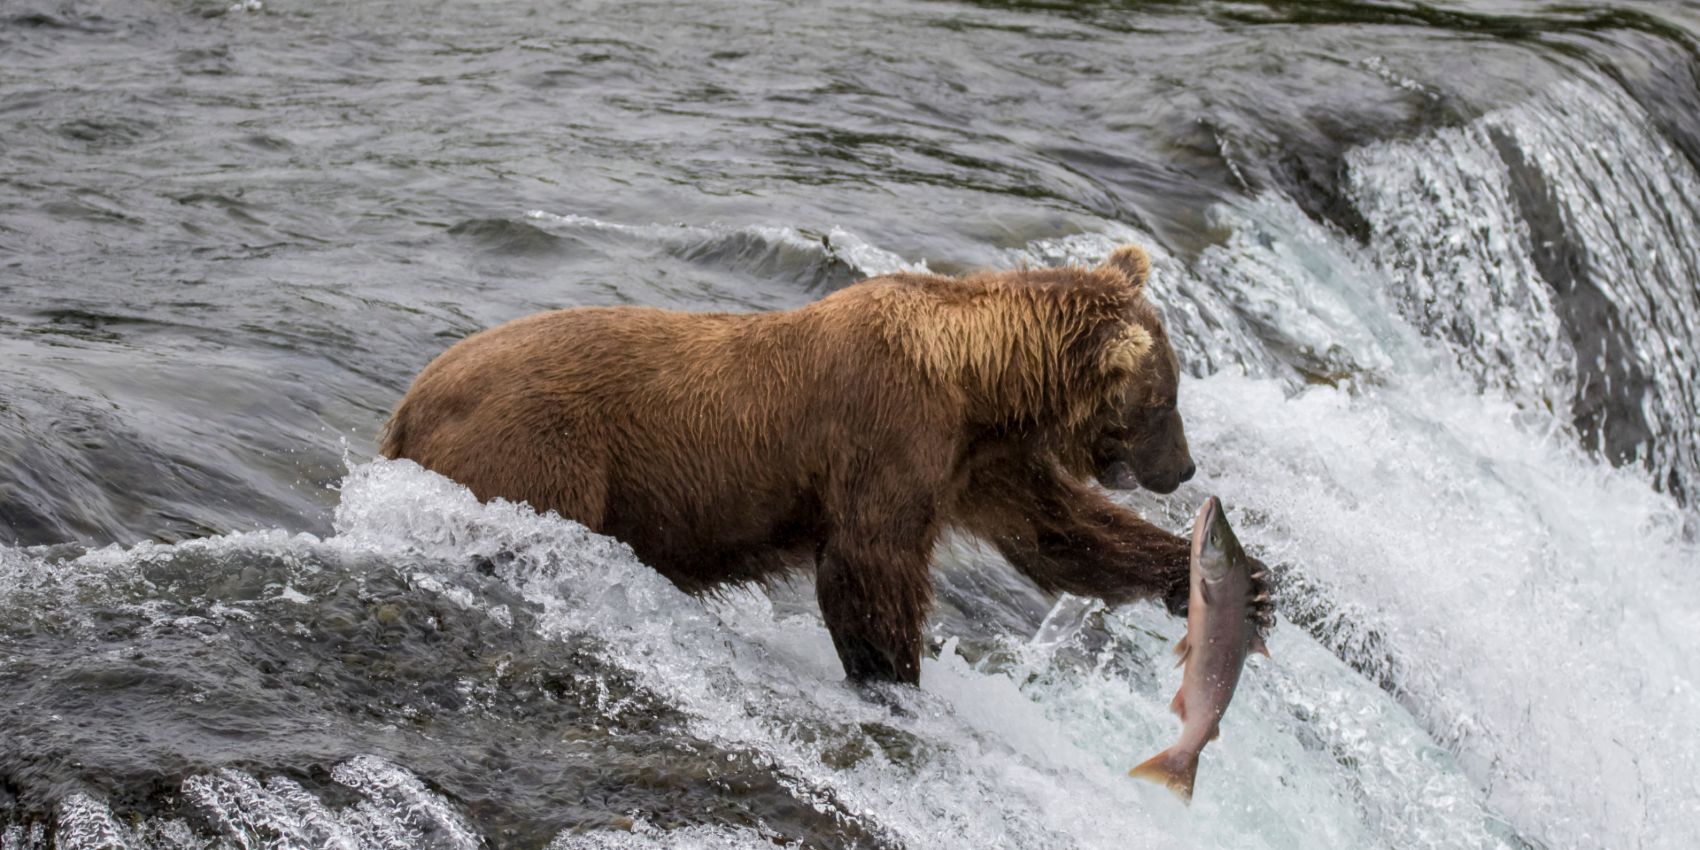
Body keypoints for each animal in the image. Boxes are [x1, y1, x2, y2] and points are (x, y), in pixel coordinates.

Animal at [381, 245, 1270, 685]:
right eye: (1165, 400)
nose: (1185, 468)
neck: (979, 383)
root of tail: (406, 405)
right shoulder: (890, 432)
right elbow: (869, 565)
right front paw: (893, 673)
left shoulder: (975, 461)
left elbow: (1060, 534)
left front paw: (1248, 581)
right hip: (536, 451)